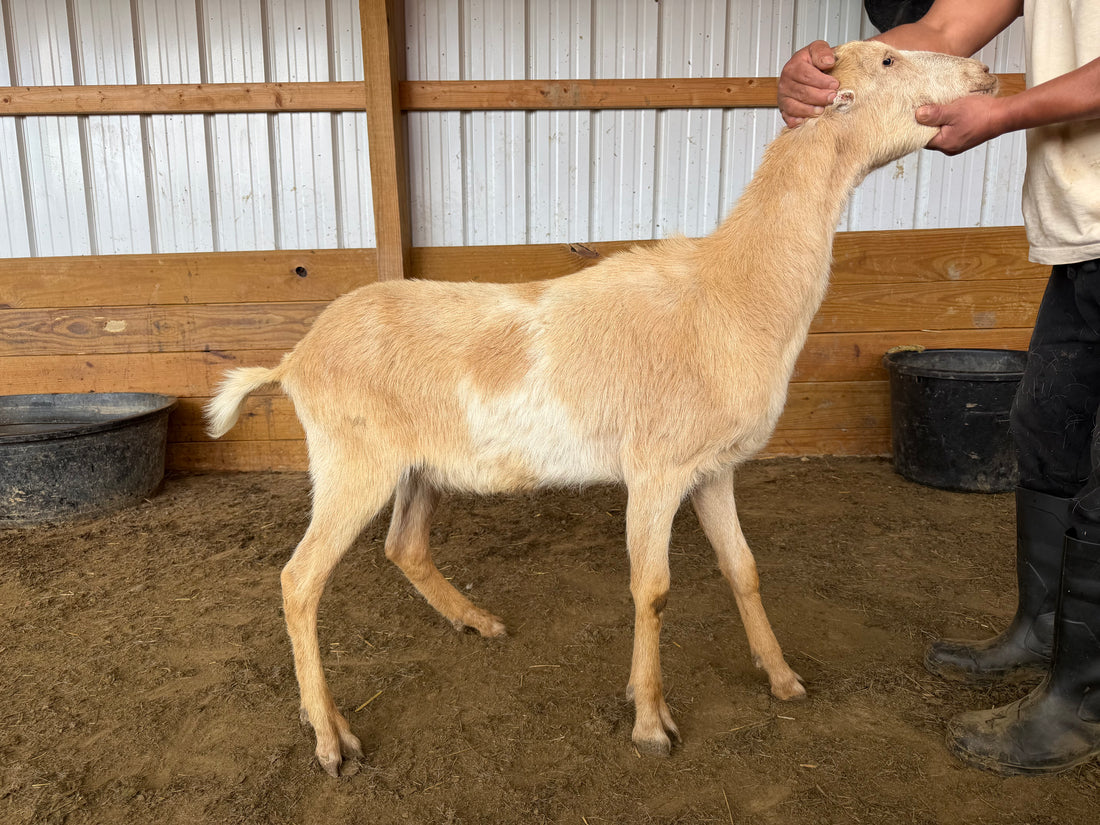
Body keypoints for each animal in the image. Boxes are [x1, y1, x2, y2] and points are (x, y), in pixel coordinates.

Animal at [207, 41, 997, 777]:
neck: (733, 290)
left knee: (404, 547)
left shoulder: (713, 468)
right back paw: (331, 738)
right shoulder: (656, 469)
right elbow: (653, 590)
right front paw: (650, 721)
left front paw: (782, 678)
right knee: (299, 581)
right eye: (889, 59)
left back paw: (477, 623)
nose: (985, 74)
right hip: (351, 461)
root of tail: (294, 359)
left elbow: (743, 569)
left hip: (416, 467)